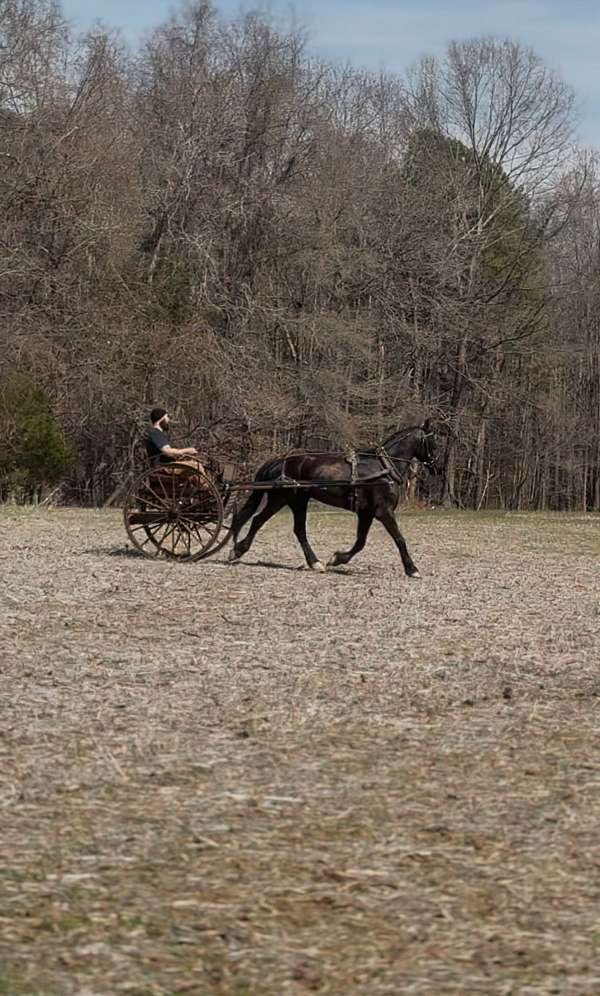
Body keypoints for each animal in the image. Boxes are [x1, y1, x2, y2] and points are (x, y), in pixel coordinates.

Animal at [226, 421, 438, 576]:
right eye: (433, 441)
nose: (436, 467)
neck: (384, 467)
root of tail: (278, 461)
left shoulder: (366, 513)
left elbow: (360, 542)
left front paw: (337, 559)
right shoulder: (383, 511)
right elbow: (399, 539)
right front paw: (412, 569)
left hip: (292, 501)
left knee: (283, 526)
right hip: (285, 499)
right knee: (265, 522)